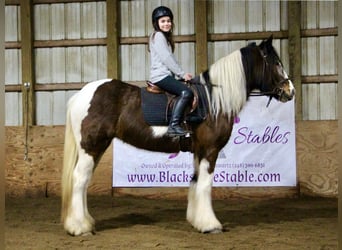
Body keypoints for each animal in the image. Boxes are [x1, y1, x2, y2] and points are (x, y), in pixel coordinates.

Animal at [60, 35, 294, 236]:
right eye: (276, 63)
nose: (290, 91)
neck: (212, 101)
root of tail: (81, 94)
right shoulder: (210, 150)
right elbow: (206, 185)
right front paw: (211, 225)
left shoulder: (199, 150)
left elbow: (196, 181)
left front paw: (197, 220)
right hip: (91, 146)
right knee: (79, 179)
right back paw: (79, 227)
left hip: (96, 147)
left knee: (84, 181)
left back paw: (86, 222)